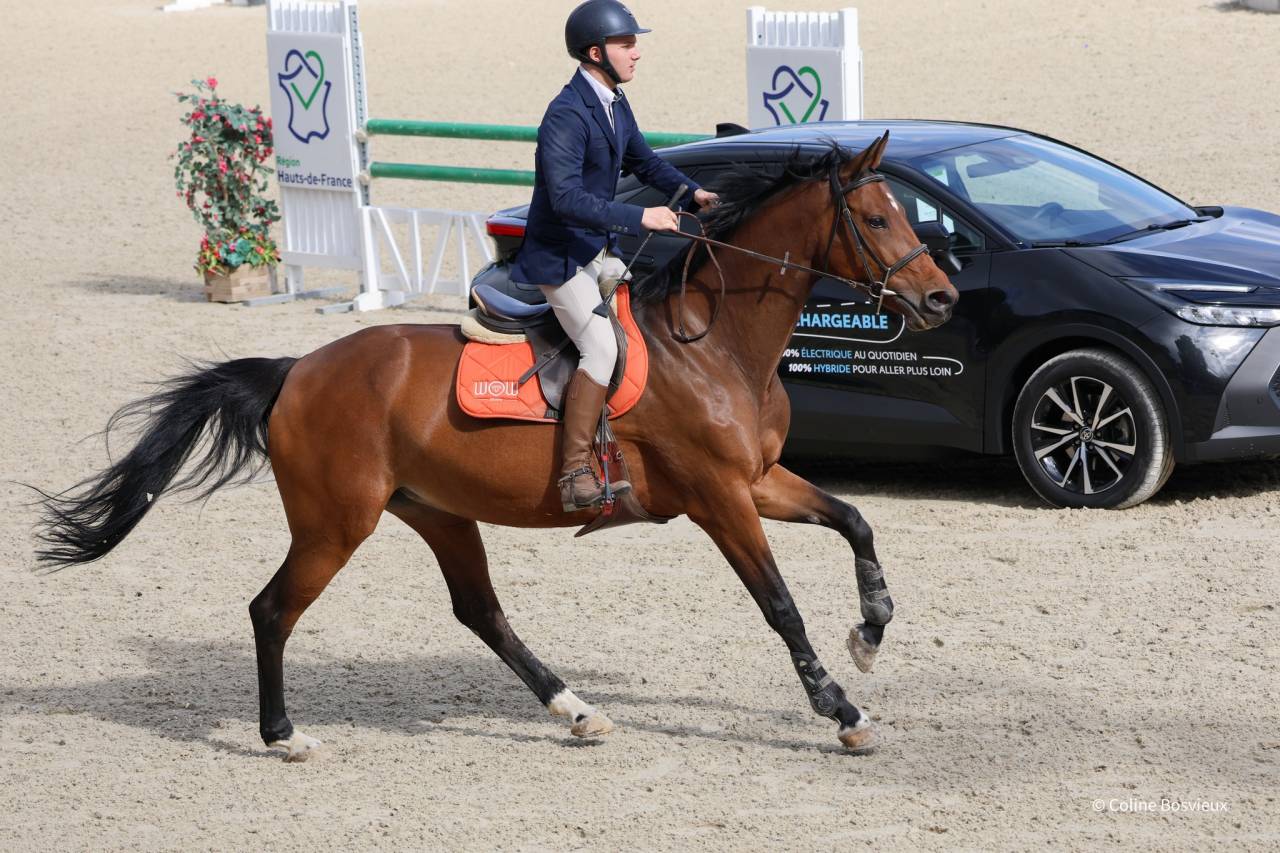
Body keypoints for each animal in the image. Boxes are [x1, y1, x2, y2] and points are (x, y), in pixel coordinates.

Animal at [36, 132, 958, 760]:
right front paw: (842, 711)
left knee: (480, 612)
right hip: (337, 523)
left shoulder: (760, 479)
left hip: (437, 511)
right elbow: (780, 604)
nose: (943, 300)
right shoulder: (720, 497)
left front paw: (870, 634)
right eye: (875, 216)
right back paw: (283, 734)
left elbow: (856, 520)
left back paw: (576, 709)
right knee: (272, 610)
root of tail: (298, 370)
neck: (718, 342)